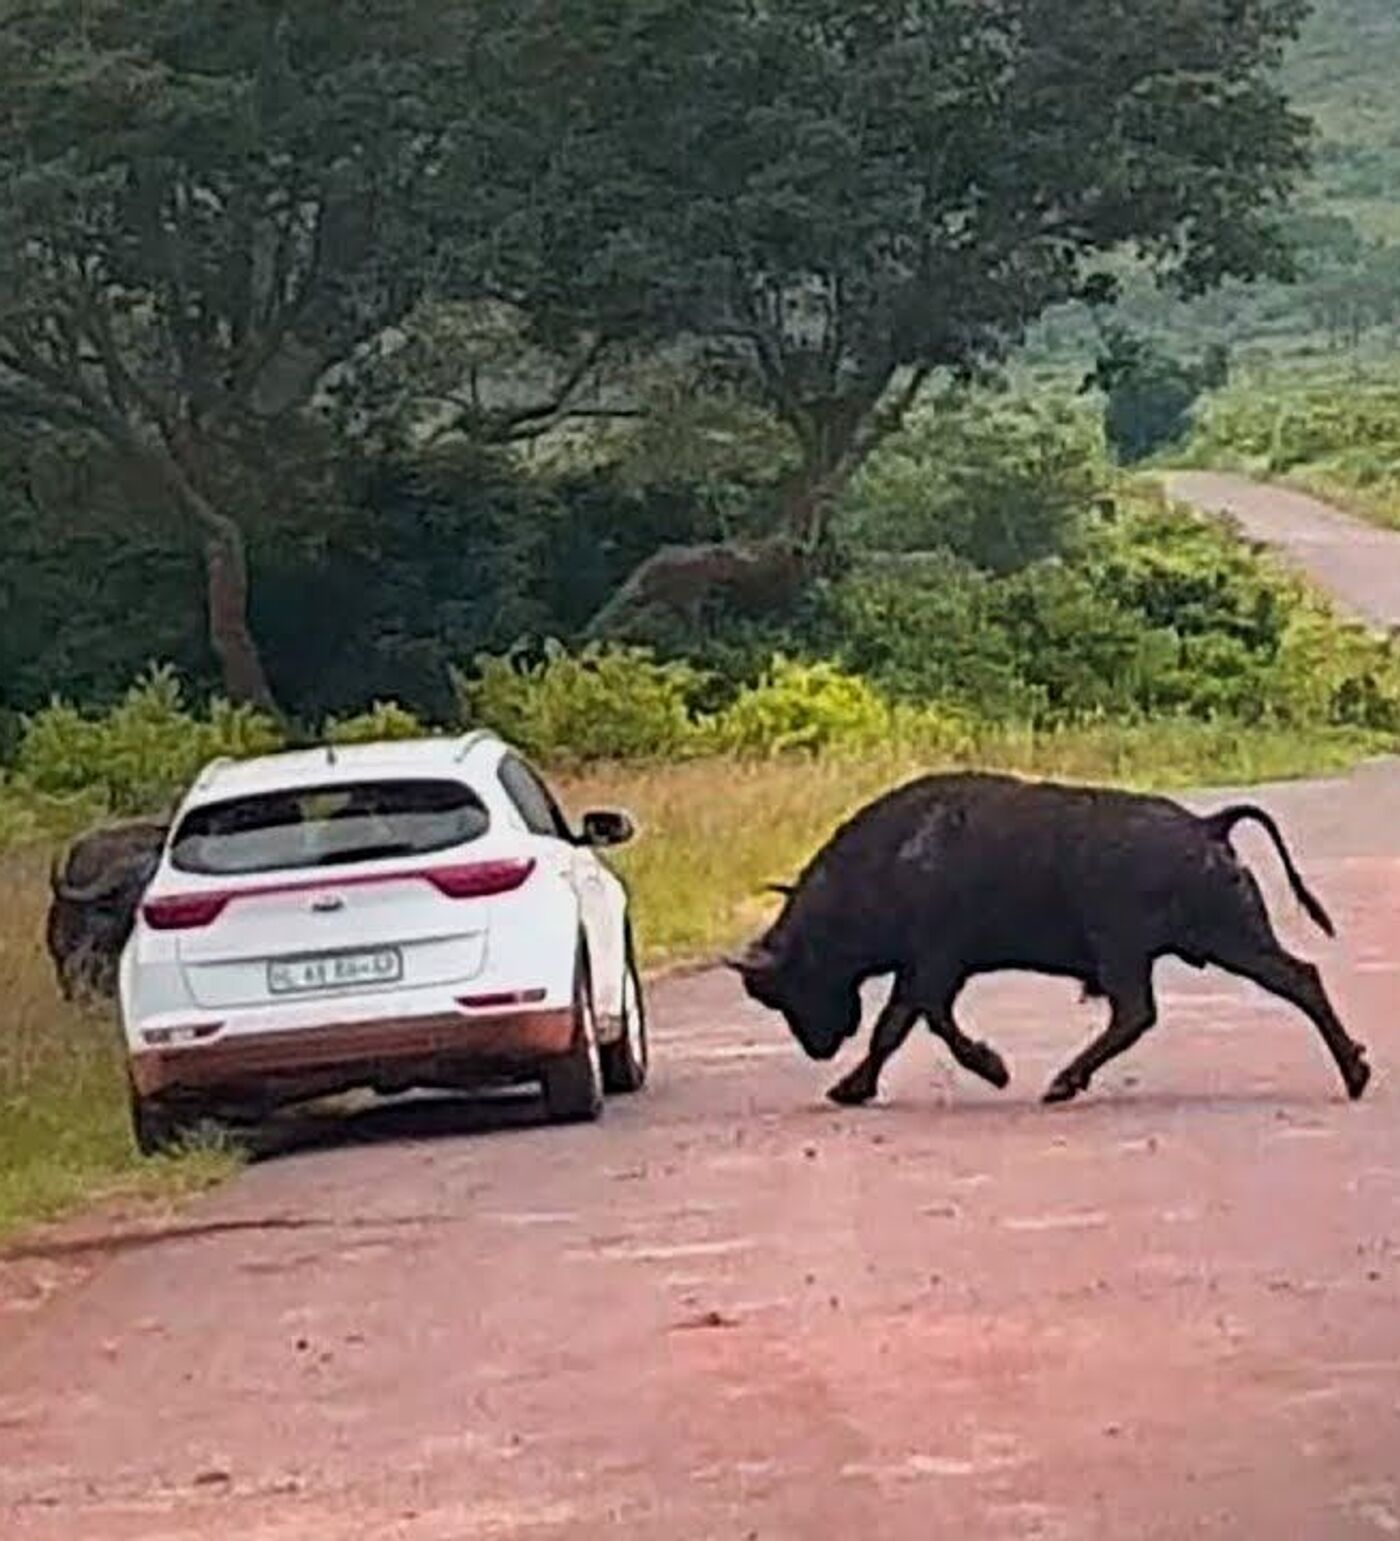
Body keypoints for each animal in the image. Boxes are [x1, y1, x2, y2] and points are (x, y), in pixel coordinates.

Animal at [726, 776, 1373, 1103]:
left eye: (783, 985)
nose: (819, 1047)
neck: (891, 856)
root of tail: (1207, 824)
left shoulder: (933, 966)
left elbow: (913, 1024)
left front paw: (991, 1069)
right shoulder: (927, 970)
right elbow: (904, 1025)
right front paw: (853, 1086)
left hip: (1182, 947)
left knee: (1149, 1010)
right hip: (1214, 945)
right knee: (1293, 980)